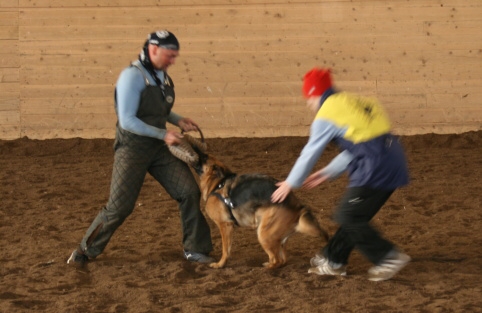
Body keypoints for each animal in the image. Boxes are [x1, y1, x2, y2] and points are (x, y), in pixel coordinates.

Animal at [194, 151, 330, 268]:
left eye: (204, 158)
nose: (197, 154)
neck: (217, 183)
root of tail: (297, 207)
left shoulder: (225, 225)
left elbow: (225, 249)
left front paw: (220, 264)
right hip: (275, 238)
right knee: (282, 259)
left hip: (263, 234)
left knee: (277, 260)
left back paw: (267, 267)